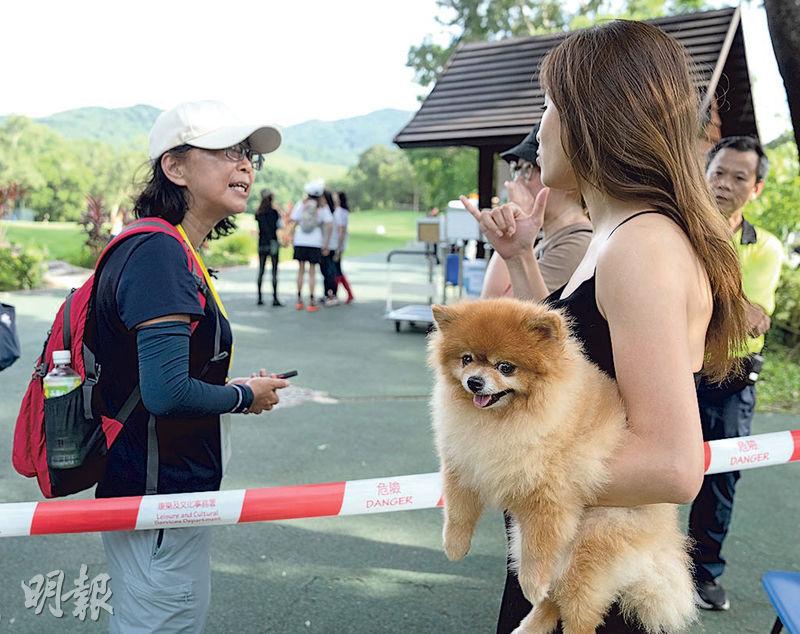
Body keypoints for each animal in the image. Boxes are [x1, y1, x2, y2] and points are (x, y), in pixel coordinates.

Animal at [428, 298, 696, 632]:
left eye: (506, 367)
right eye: (466, 359)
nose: (474, 381)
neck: (501, 421)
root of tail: (664, 535)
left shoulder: (550, 495)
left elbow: (539, 548)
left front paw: (530, 583)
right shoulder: (463, 465)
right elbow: (458, 512)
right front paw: (454, 546)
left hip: (591, 551)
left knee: (577, 609)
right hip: (528, 541)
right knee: (553, 598)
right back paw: (527, 627)